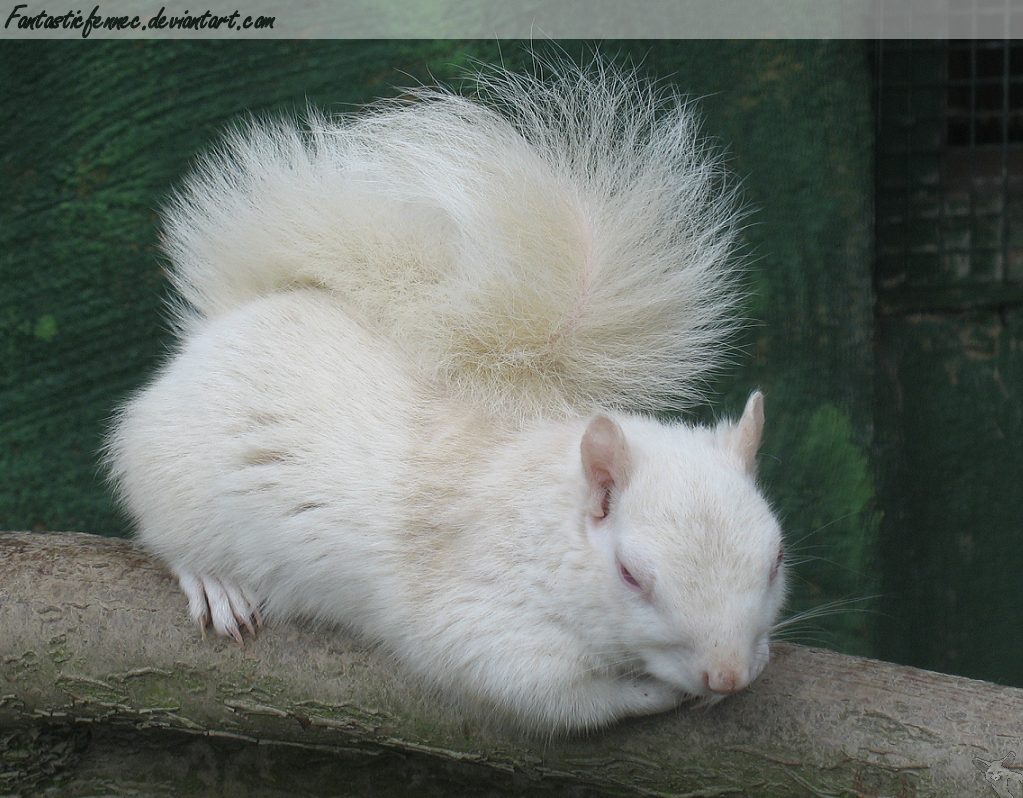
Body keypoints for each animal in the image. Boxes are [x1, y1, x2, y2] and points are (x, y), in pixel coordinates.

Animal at [105, 62, 781, 736]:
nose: (727, 676)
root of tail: (225, 323)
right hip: (174, 480)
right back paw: (214, 582)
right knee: (167, 537)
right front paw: (658, 690)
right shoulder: (482, 620)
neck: (543, 525)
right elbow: (554, 699)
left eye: (775, 561)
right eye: (631, 576)